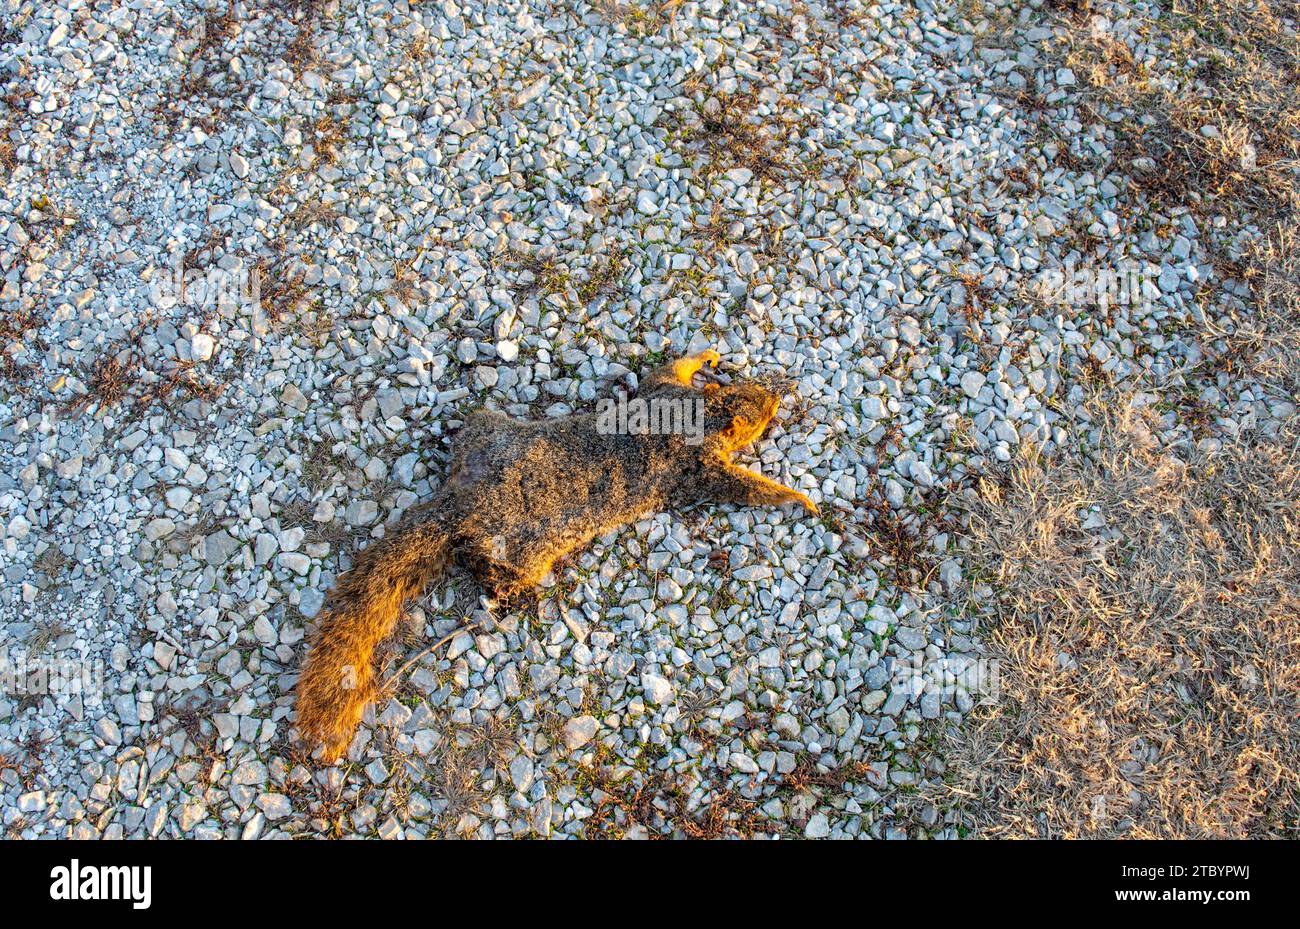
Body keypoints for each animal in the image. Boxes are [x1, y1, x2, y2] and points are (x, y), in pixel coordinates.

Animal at [294, 349, 818, 760]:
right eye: (762, 410)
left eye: (755, 390)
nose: (781, 393)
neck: (696, 416)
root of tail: (460, 502)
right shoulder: (697, 466)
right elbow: (742, 485)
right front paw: (797, 497)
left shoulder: (664, 396)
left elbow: (666, 370)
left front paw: (704, 355)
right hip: (520, 549)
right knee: (493, 567)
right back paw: (509, 595)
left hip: (488, 431)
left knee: (475, 426)